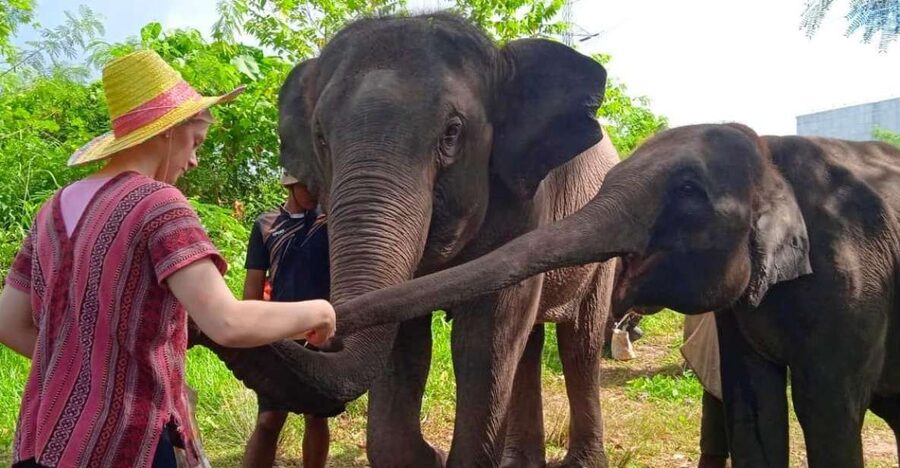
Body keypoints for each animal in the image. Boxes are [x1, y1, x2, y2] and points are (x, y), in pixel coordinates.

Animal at [197, 12, 622, 467]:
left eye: (452, 132)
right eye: (321, 138)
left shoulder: (526, 205)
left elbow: (485, 338)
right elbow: (407, 342)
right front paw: (426, 458)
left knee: (579, 344)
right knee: (530, 343)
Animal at [337, 123, 900, 467]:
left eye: (689, 192)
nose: (322, 325)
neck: (772, 151)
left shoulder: (855, 278)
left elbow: (827, 408)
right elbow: (754, 406)